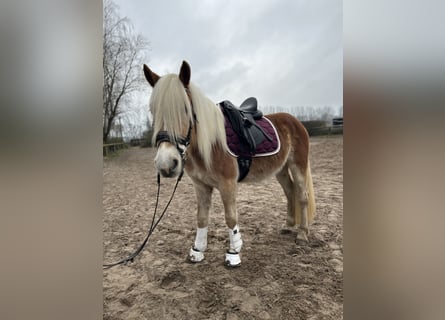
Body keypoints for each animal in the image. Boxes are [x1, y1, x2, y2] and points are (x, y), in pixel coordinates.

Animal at [144, 60, 314, 268]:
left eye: (185, 109)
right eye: (153, 111)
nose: (166, 164)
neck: (210, 144)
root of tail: (296, 121)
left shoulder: (228, 184)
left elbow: (231, 218)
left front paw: (233, 253)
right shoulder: (201, 186)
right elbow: (201, 217)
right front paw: (197, 251)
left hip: (298, 165)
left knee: (302, 196)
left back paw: (302, 234)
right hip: (280, 169)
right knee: (290, 191)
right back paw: (289, 226)